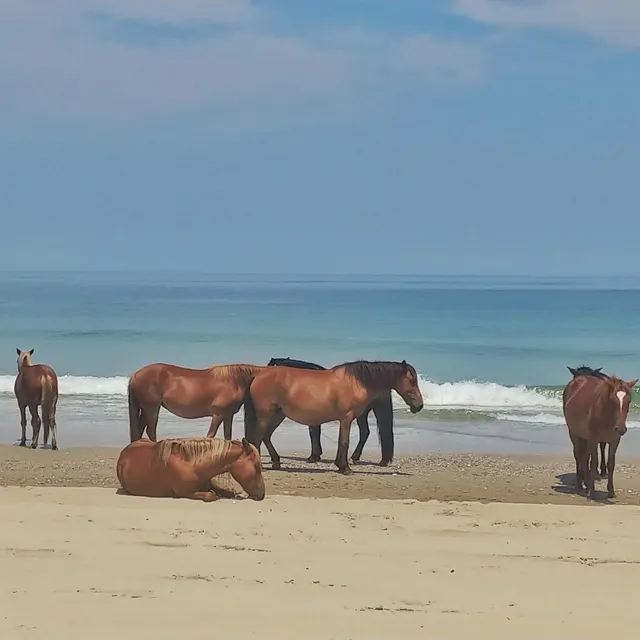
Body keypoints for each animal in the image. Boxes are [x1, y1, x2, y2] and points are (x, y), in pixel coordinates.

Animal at [116, 436, 265, 501]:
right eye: (256, 466)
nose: (262, 495)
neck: (192, 465)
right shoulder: (185, 492)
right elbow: (211, 495)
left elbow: (226, 492)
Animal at [127, 363, 265, 443]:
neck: (234, 380)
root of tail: (135, 375)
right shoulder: (218, 413)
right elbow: (211, 435)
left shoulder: (228, 415)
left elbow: (227, 436)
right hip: (152, 408)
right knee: (150, 431)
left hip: (146, 409)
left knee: (139, 430)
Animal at [244, 359, 424, 475]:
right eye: (411, 380)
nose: (419, 405)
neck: (356, 382)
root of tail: (258, 376)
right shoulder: (346, 418)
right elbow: (344, 442)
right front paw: (345, 468)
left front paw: (341, 465)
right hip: (266, 414)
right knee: (258, 437)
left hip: (278, 415)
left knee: (266, 436)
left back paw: (276, 462)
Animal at [563, 365, 637, 499]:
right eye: (612, 400)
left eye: (628, 401)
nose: (621, 429)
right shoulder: (593, 439)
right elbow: (593, 462)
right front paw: (592, 491)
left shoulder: (615, 440)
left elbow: (611, 463)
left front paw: (611, 491)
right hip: (574, 433)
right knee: (579, 456)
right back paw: (579, 485)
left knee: (584, 457)